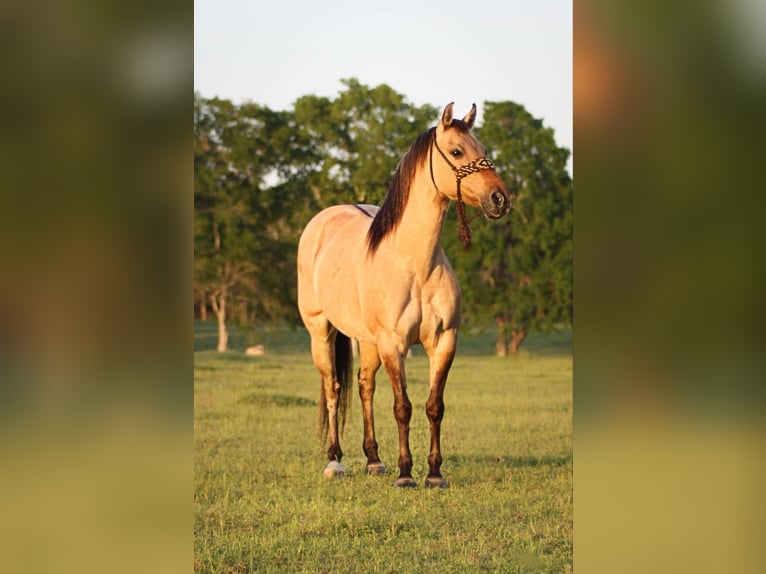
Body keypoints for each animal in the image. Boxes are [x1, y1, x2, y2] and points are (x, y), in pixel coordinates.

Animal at [297, 102, 511, 487]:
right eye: (457, 151)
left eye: (483, 149)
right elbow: (403, 407)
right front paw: (406, 473)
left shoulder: (443, 342)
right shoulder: (394, 344)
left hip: (368, 342)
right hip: (321, 331)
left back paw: (373, 459)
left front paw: (435, 473)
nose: (500, 199)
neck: (416, 264)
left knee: (364, 386)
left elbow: (434, 406)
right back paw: (335, 460)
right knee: (333, 387)